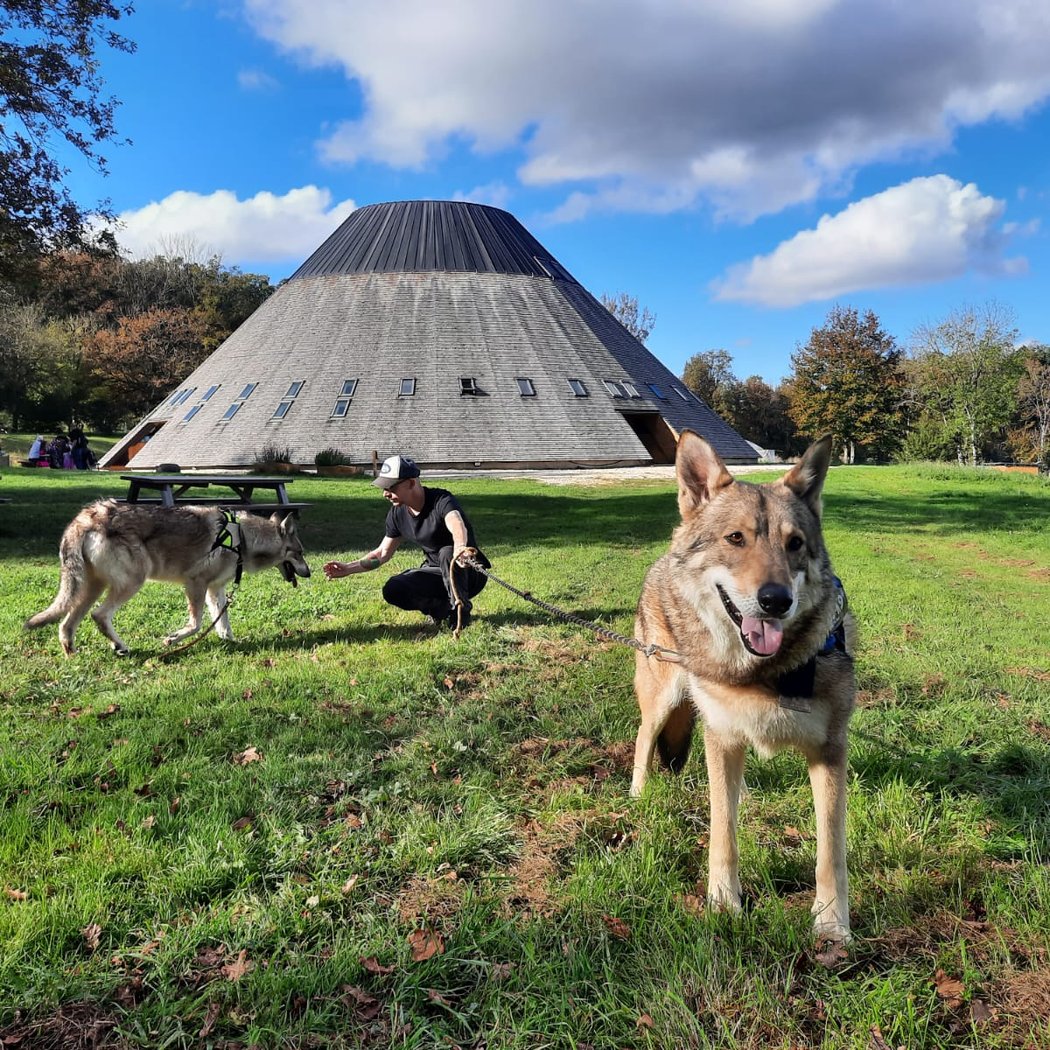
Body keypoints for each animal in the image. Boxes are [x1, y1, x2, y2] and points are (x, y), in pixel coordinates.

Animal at [25, 500, 311, 655]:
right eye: (300, 553)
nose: (310, 573)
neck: (243, 538)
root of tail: (84, 517)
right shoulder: (195, 584)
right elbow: (196, 624)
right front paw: (172, 639)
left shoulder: (215, 590)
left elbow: (222, 623)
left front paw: (230, 642)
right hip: (131, 583)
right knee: (99, 616)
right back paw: (121, 647)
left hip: (92, 589)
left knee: (66, 624)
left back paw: (72, 654)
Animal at [631, 431, 856, 942]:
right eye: (736, 538)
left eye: (795, 544)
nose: (776, 600)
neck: (763, 673)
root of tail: (663, 558)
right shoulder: (720, 736)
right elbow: (723, 832)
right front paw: (723, 903)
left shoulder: (830, 752)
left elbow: (830, 851)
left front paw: (832, 924)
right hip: (664, 697)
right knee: (643, 740)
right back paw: (637, 796)